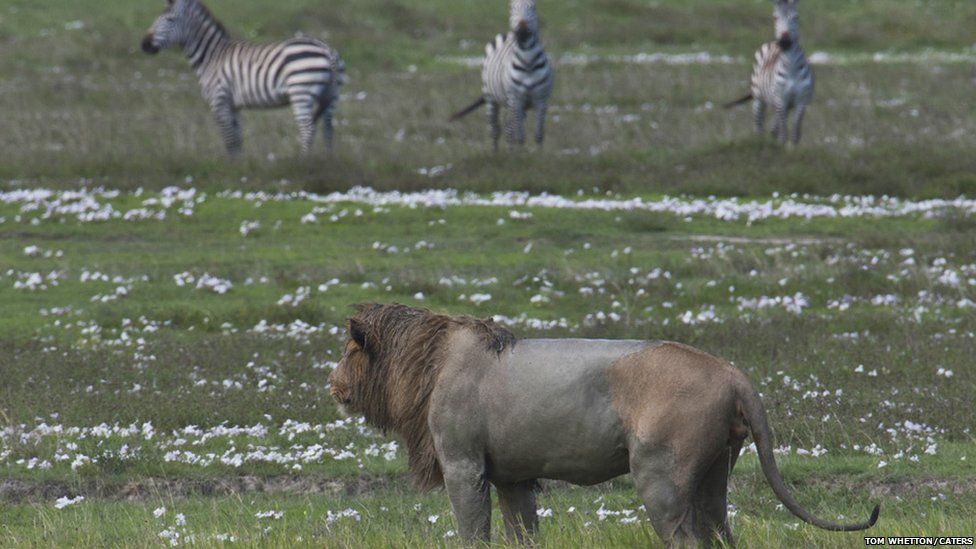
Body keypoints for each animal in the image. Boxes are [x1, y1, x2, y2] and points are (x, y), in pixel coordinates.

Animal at [141, 0, 344, 155]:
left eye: (169, 20)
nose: (144, 45)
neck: (212, 57)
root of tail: (327, 50)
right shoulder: (233, 105)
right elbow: (237, 138)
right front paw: (241, 167)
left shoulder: (219, 100)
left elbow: (229, 139)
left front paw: (232, 171)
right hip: (332, 95)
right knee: (328, 128)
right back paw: (326, 162)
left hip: (301, 92)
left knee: (308, 128)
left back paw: (304, 162)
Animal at [332, 302, 880, 544]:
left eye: (348, 351)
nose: (332, 383)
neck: (427, 363)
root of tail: (734, 373)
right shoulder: (512, 476)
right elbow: (522, 531)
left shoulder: (464, 465)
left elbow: (473, 531)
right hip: (716, 469)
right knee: (720, 531)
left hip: (660, 475)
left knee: (685, 536)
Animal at [452, 0, 552, 150]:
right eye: (511, 8)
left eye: (533, 8)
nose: (522, 30)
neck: (528, 63)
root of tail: (506, 35)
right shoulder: (516, 100)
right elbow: (520, 136)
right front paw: (522, 155)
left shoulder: (541, 99)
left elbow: (538, 134)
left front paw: (539, 155)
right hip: (492, 98)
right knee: (496, 130)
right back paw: (497, 153)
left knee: (508, 128)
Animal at [724, 0, 816, 144]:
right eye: (775, 18)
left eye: (796, 17)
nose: (784, 42)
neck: (791, 67)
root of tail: (771, 43)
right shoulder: (780, 99)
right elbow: (784, 133)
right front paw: (782, 147)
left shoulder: (801, 101)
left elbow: (795, 132)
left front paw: (792, 148)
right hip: (759, 99)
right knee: (759, 127)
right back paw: (760, 143)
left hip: (784, 105)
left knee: (774, 128)